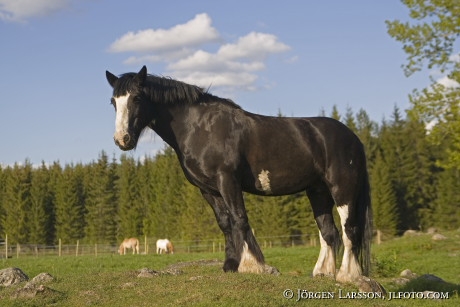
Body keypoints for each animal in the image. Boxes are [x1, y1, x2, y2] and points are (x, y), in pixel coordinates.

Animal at [106, 66, 372, 282]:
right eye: (113, 102)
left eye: (137, 97)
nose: (122, 140)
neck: (199, 127)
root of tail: (354, 138)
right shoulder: (208, 189)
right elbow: (225, 223)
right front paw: (230, 265)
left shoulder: (228, 180)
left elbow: (239, 218)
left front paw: (254, 265)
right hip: (317, 191)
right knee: (328, 232)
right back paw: (321, 273)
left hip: (342, 189)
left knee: (349, 230)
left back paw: (347, 275)